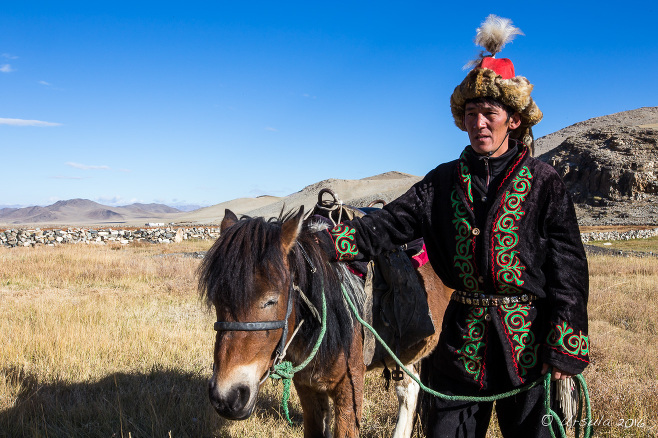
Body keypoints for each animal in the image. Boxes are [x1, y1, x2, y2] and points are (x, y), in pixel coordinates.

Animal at [196, 208, 452, 438]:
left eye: (271, 299)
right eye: (217, 299)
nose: (226, 398)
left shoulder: (349, 390)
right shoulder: (307, 388)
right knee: (410, 391)